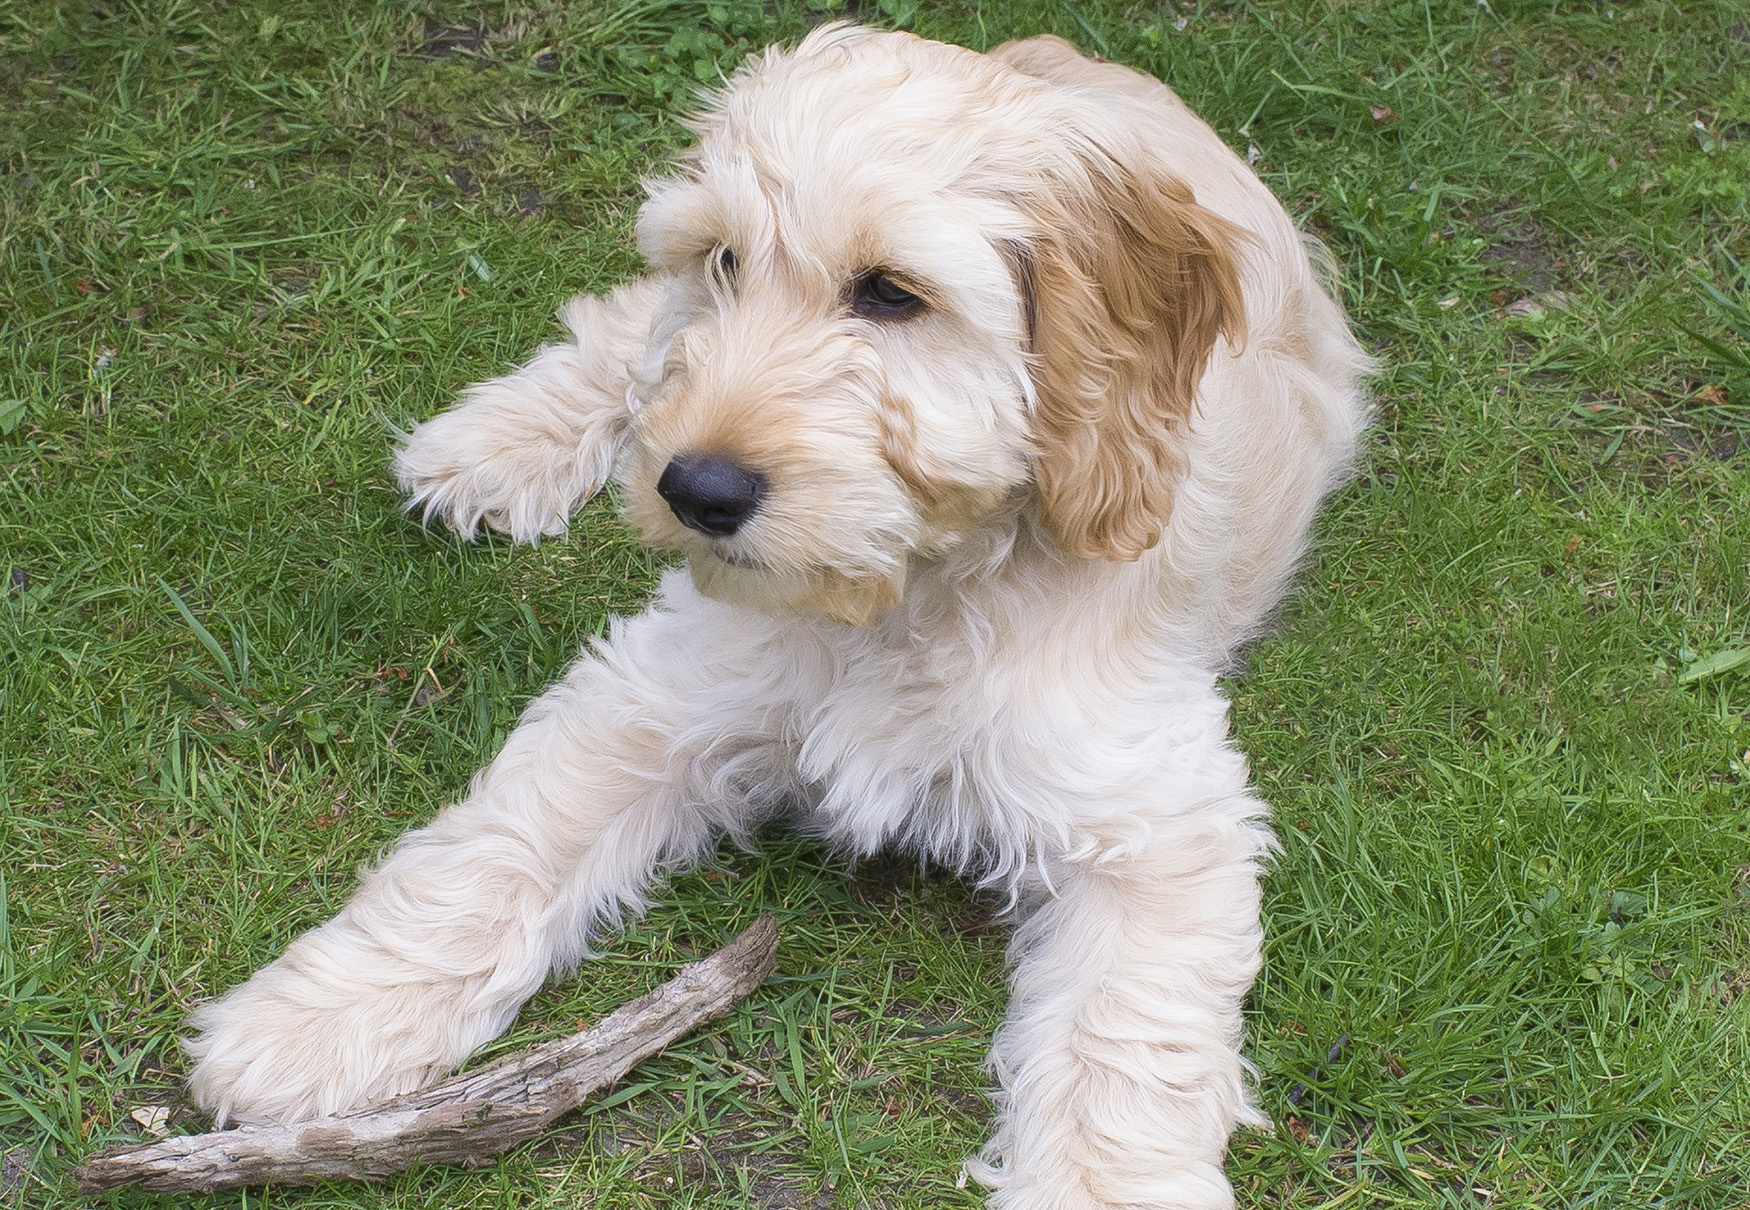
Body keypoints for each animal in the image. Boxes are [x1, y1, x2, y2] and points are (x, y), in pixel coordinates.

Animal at [184, 23, 1372, 1204]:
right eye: (725, 262)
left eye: (891, 293)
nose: (694, 490)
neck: (904, 591)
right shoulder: (659, 688)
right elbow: (499, 845)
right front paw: (319, 1019)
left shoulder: (1154, 827)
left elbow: (1121, 1053)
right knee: (628, 327)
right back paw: (492, 444)